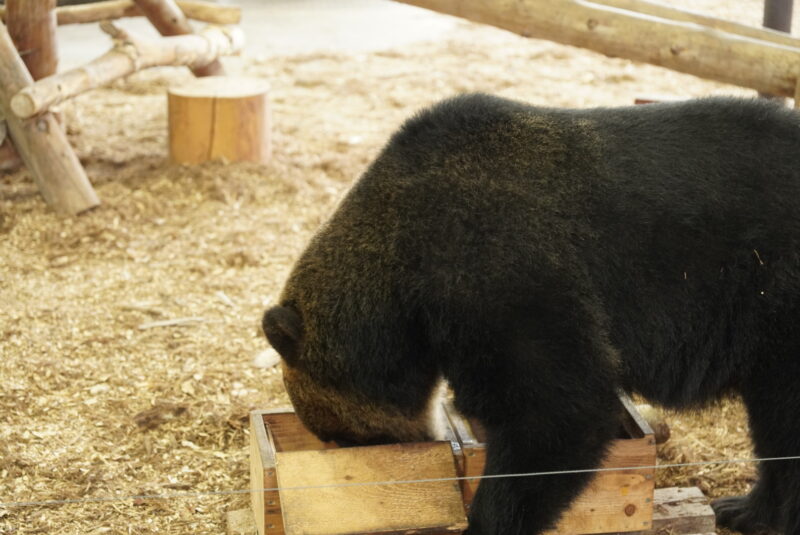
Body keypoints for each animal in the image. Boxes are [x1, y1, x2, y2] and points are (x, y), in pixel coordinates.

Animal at [266, 94, 800, 532]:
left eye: (344, 433)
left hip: (772, 293)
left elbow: (557, 409)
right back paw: (746, 509)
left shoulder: (503, 271)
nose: (353, 456)